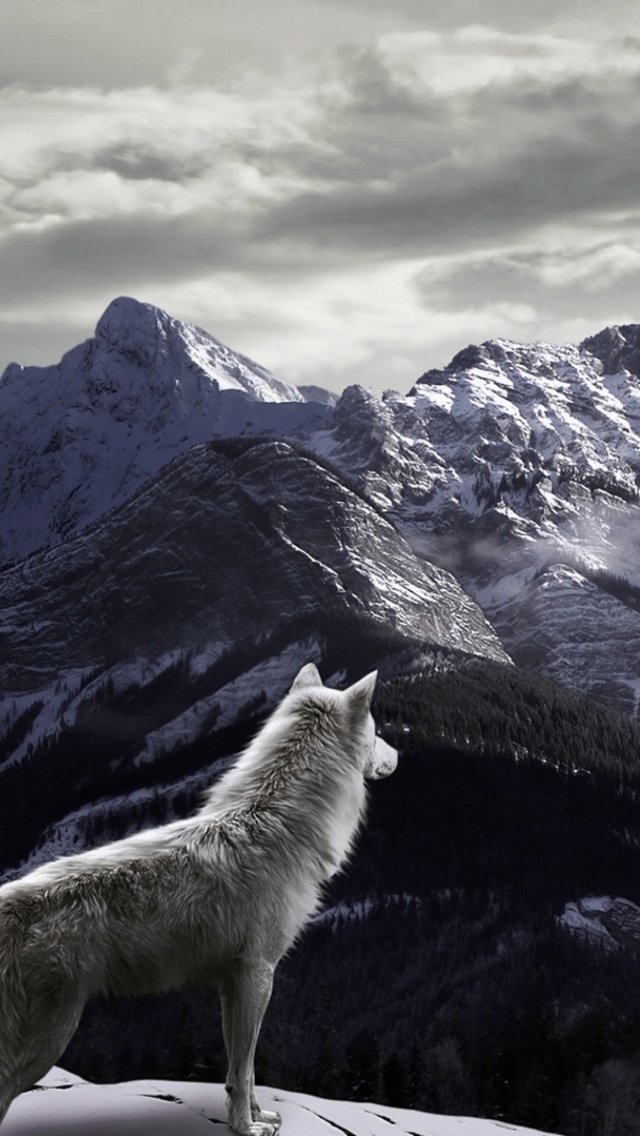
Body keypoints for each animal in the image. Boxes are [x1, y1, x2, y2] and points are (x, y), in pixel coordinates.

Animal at [0, 663, 397, 1131]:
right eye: (377, 732)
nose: (398, 754)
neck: (279, 825)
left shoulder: (233, 982)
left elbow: (242, 1068)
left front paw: (257, 1115)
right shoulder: (259, 972)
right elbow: (244, 1068)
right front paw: (247, 1127)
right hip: (48, 1042)